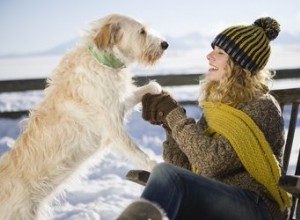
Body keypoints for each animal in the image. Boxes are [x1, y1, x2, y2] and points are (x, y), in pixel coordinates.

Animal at [0, 14, 169, 220]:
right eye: (142, 31)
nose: (165, 44)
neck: (104, 61)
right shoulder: (112, 128)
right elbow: (136, 152)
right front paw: (155, 165)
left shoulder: (117, 105)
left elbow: (137, 93)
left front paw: (154, 88)